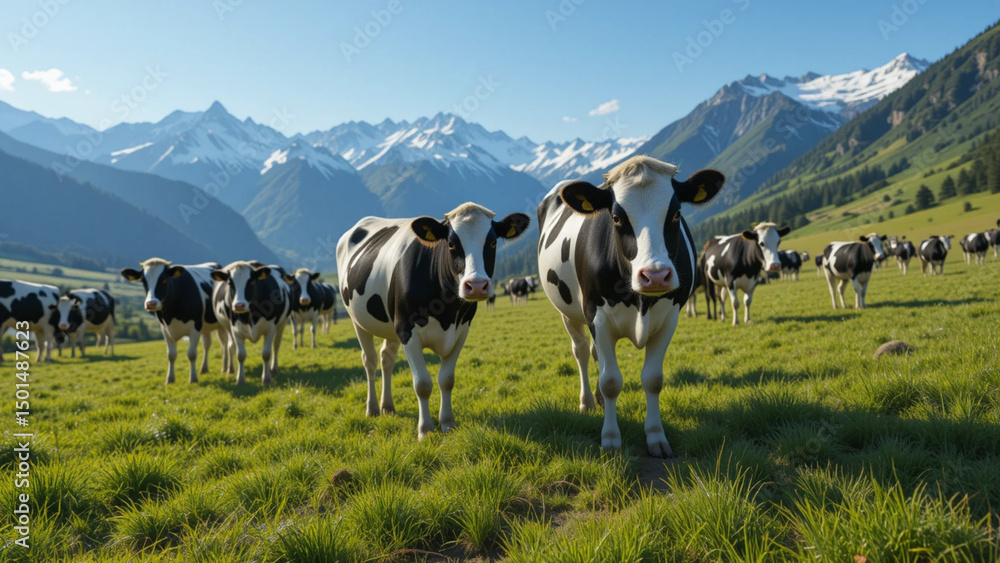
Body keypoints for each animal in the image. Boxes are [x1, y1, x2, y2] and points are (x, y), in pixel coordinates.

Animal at [337, 203, 529, 439]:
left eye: (493, 242)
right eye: (451, 243)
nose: (476, 285)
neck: (446, 311)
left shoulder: (461, 332)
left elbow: (446, 380)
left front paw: (447, 423)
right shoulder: (407, 330)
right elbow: (422, 384)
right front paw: (425, 430)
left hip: (391, 325)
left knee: (386, 359)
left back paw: (387, 406)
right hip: (358, 321)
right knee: (370, 361)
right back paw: (372, 408)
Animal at [537, 155, 724, 456]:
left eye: (676, 213)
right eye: (616, 217)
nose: (655, 275)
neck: (640, 302)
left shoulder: (670, 318)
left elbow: (653, 379)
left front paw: (656, 436)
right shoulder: (597, 317)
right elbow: (611, 381)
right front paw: (611, 438)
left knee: (595, 354)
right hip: (568, 312)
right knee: (581, 352)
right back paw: (588, 401)